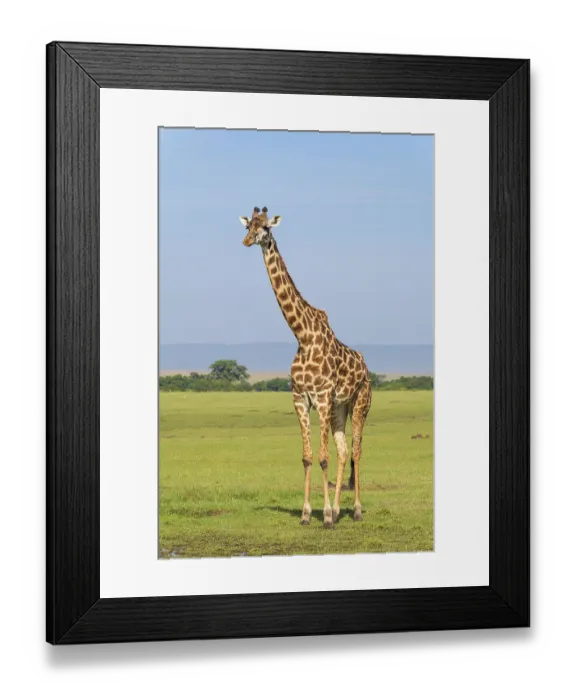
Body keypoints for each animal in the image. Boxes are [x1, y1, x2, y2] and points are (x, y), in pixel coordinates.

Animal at [240, 207, 372, 529]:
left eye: (265, 227)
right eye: (249, 226)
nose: (247, 240)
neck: (302, 334)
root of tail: (366, 367)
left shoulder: (321, 397)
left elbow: (323, 457)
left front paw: (323, 516)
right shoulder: (300, 398)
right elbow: (308, 457)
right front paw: (306, 513)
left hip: (360, 403)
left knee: (357, 450)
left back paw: (355, 510)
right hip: (339, 408)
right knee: (343, 450)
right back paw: (338, 509)